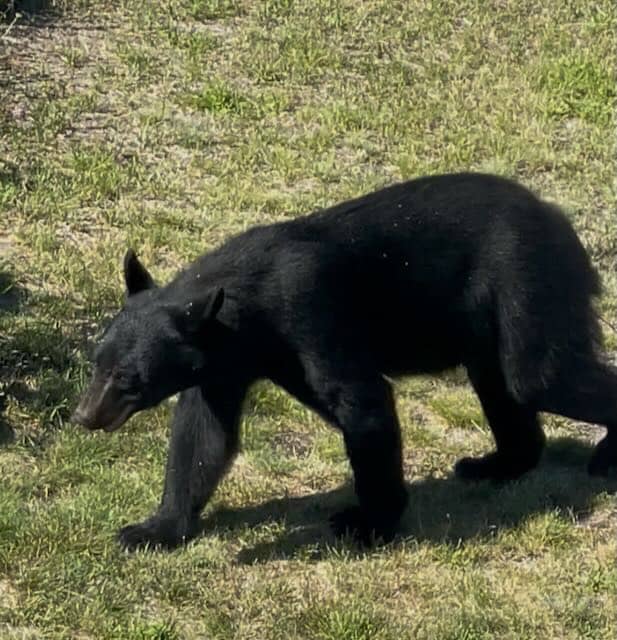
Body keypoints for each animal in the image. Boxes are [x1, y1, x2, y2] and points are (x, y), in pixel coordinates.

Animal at [72, 172, 617, 550]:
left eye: (128, 378)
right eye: (96, 362)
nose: (84, 415)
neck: (245, 316)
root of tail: (563, 221)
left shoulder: (311, 312)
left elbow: (361, 403)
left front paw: (366, 523)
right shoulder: (225, 364)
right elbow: (203, 435)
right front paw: (151, 529)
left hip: (526, 283)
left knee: (541, 375)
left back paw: (604, 456)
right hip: (490, 324)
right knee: (501, 384)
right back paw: (493, 464)